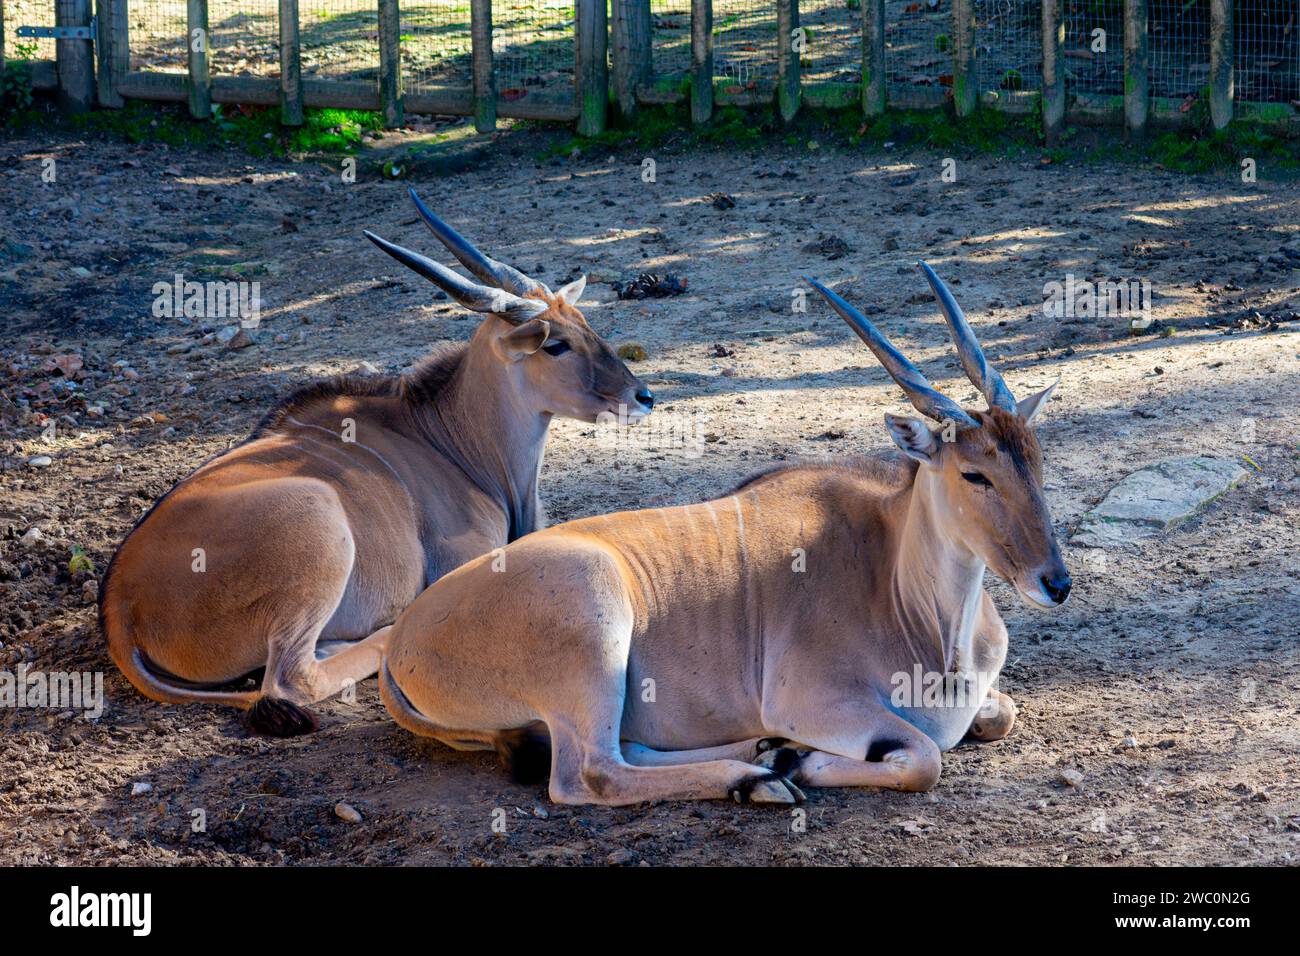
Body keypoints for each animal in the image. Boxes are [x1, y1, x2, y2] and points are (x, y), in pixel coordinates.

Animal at [100, 188, 650, 738]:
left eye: (587, 326)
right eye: (556, 344)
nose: (642, 396)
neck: (449, 437)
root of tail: (120, 610)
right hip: (316, 513)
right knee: (291, 676)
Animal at [379, 264, 1071, 806]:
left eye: (1036, 459)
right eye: (974, 474)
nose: (1057, 583)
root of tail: (400, 641)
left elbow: (999, 716)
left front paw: (787, 754)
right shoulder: (812, 702)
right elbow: (925, 758)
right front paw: (800, 762)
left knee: (626, 750)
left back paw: (760, 753)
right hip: (592, 623)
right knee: (590, 774)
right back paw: (756, 777)